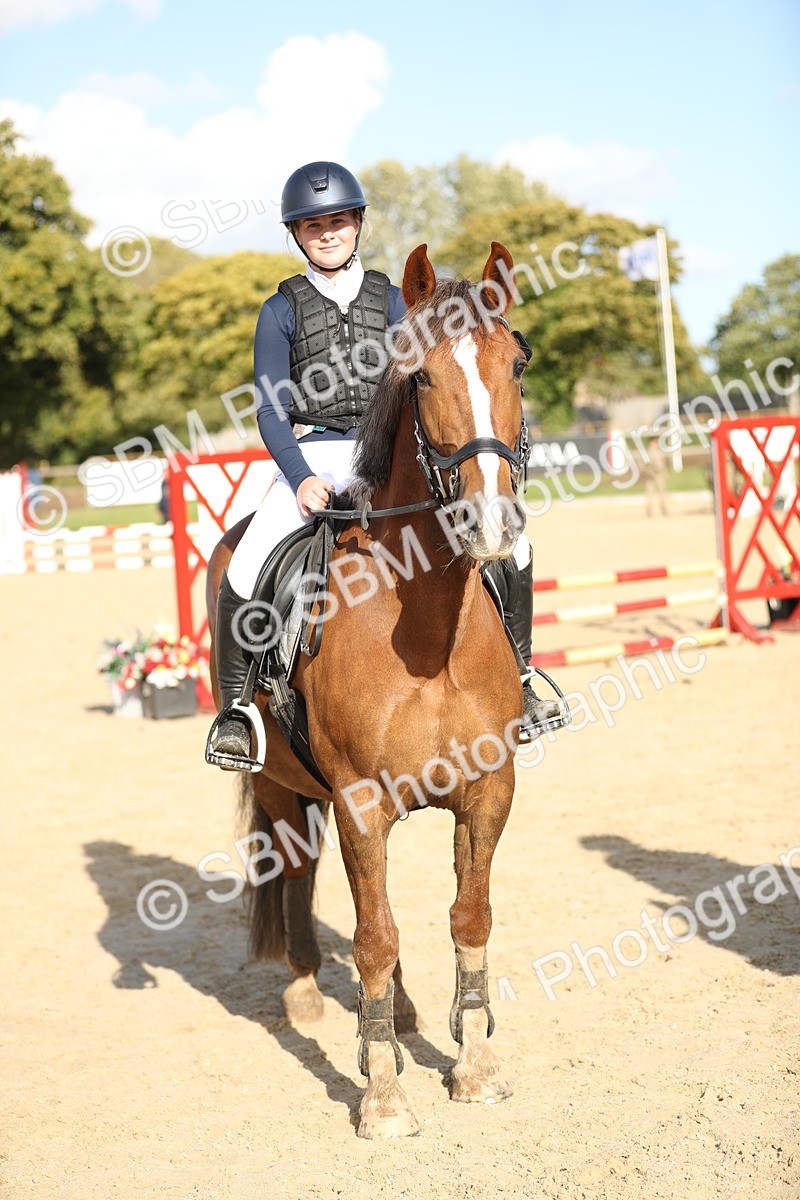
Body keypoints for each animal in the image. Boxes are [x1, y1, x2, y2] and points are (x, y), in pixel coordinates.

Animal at [206, 242, 529, 1139]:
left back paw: (405, 1013)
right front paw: (382, 1095)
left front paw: (474, 1065)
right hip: (285, 787)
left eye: (516, 362)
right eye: (421, 377)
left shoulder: (489, 790)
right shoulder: (357, 800)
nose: (493, 526)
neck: (428, 631)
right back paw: (305, 992)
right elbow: (374, 938)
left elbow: (467, 917)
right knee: (301, 874)